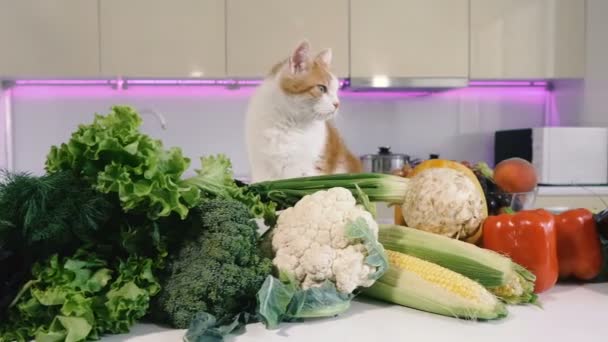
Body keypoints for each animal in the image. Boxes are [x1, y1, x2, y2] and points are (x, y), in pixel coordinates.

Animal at [246, 40, 364, 182]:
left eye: (336, 90)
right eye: (322, 88)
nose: (337, 104)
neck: (288, 124)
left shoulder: (307, 169)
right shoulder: (262, 169)